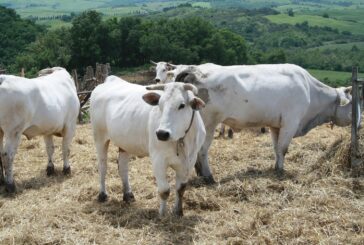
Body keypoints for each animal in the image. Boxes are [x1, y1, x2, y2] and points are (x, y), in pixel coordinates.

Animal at [90, 77, 206, 216]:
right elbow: (164, 190)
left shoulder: (189, 161)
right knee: (102, 166)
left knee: (123, 168)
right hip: (99, 137)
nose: (162, 133)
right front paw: (162, 214)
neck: (182, 141)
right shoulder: (158, 159)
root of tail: (109, 81)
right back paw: (102, 195)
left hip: (124, 144)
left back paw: (128, 195)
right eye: (160, 105)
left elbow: (180, 189)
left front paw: (178, 212)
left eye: (182, 105)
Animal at [173, 63, 358, 182]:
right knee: (202, 150)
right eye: (353, 101)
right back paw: (208, 176)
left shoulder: (276, 126)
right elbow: (283, 149)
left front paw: (276, 167)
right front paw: (281, 171)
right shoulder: (290, 123)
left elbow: (276, 149)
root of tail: (195, 70)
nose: (359, 122)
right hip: (209, 124)